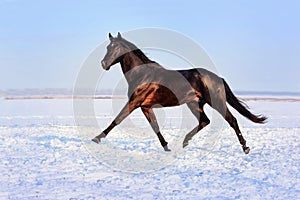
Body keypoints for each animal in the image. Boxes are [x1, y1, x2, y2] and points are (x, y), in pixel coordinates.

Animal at [92, 32, 266, 155]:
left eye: (115, 48)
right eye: (108, 48)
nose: (103, 64)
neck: (142, 74)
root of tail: (218, 78)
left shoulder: (134, 102)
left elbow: (117, 119)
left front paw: (97, 138)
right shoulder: (145, 107)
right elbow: (155, 127)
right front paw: (166, 147)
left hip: (216, 101)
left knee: (232, 120)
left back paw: (245, 148)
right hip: (194, 103)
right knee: (205, 121)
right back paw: (185, 142)